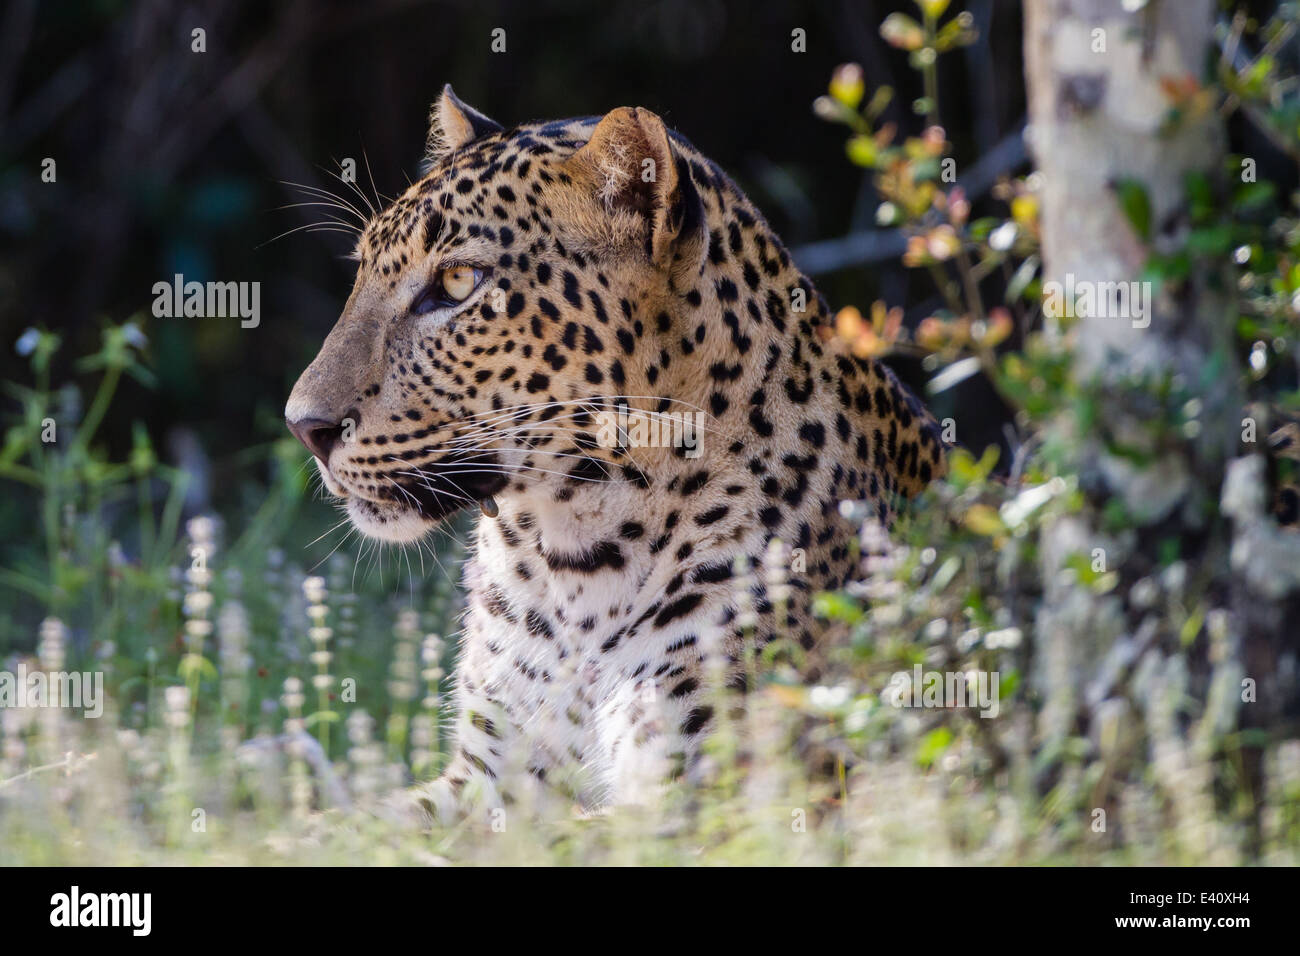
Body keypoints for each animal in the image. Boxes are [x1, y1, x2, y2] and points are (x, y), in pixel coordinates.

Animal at [287, 85, 946, 816]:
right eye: (363, 272)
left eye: (458, 283)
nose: (303, 425)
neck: (568, 555)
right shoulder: (486, 773)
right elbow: (337, 827)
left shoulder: (703, 791)